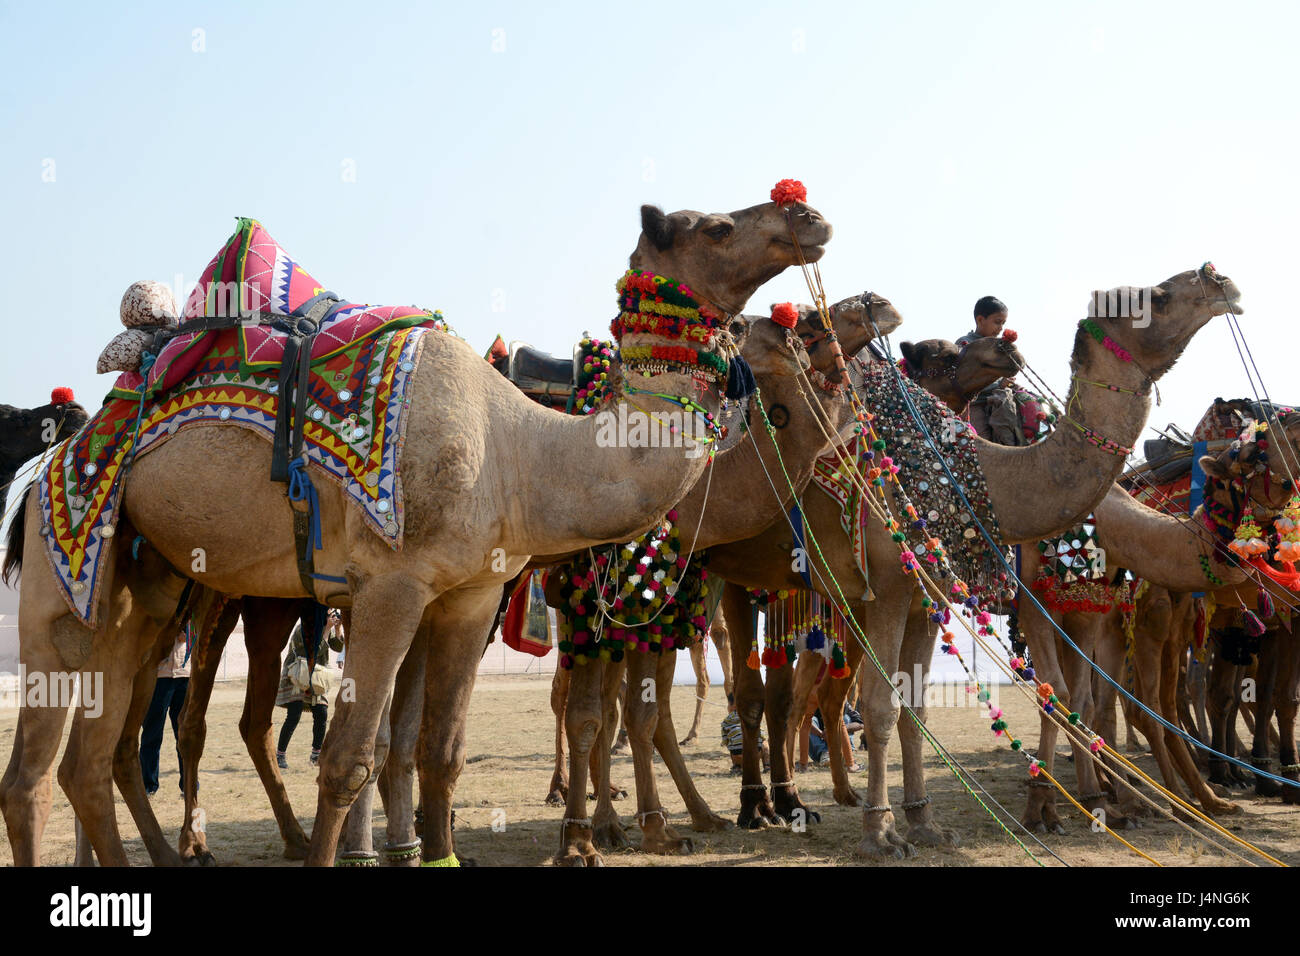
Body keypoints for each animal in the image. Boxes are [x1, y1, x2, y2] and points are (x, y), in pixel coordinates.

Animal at [0, 196, 833, 866]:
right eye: (718, 226)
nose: (806, 214)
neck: (521, 452)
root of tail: (49, 468)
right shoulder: (391, 585)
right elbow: (347, 759)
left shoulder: (471, 594)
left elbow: (439, 752)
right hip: (66, 575)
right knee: (33, 777)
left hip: (142, 594)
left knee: (86, 764)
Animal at [706, 267, 1242, 857]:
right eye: (1157, 298)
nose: (1219, 280)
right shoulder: (906, 589)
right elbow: (883, 706)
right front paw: (882, 834)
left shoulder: (930, 598)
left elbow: (918, 707)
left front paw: (924, 823)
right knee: (747, 692)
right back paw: (747, 809)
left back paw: (789, 803)